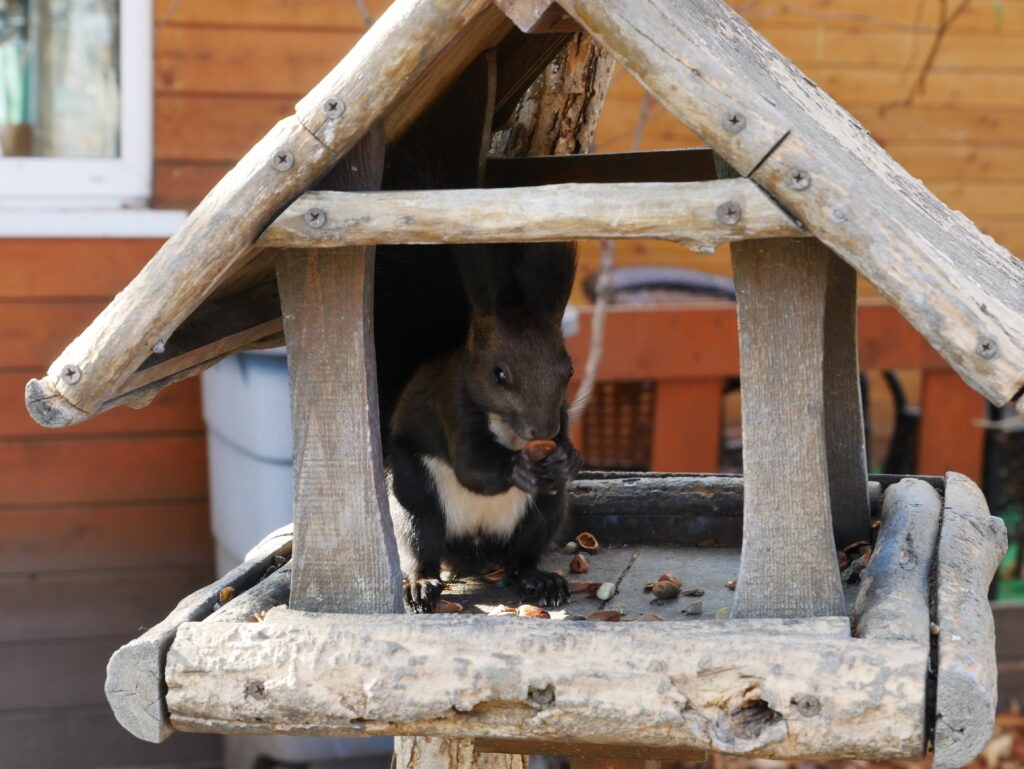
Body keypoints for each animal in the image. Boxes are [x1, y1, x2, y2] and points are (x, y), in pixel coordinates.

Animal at [385, 242, 583, 612]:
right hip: (412, 495)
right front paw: (519, 468)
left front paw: (569, 458)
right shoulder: (452, 406)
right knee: (418, 542)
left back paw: (539, 580)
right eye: (499, 374)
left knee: (520, 558)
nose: (543, 431)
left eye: (570, 370)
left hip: (543, 515)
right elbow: (472, 467)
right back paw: (419, 585)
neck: (509, 430)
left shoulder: (561, 412)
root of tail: (473, 552)